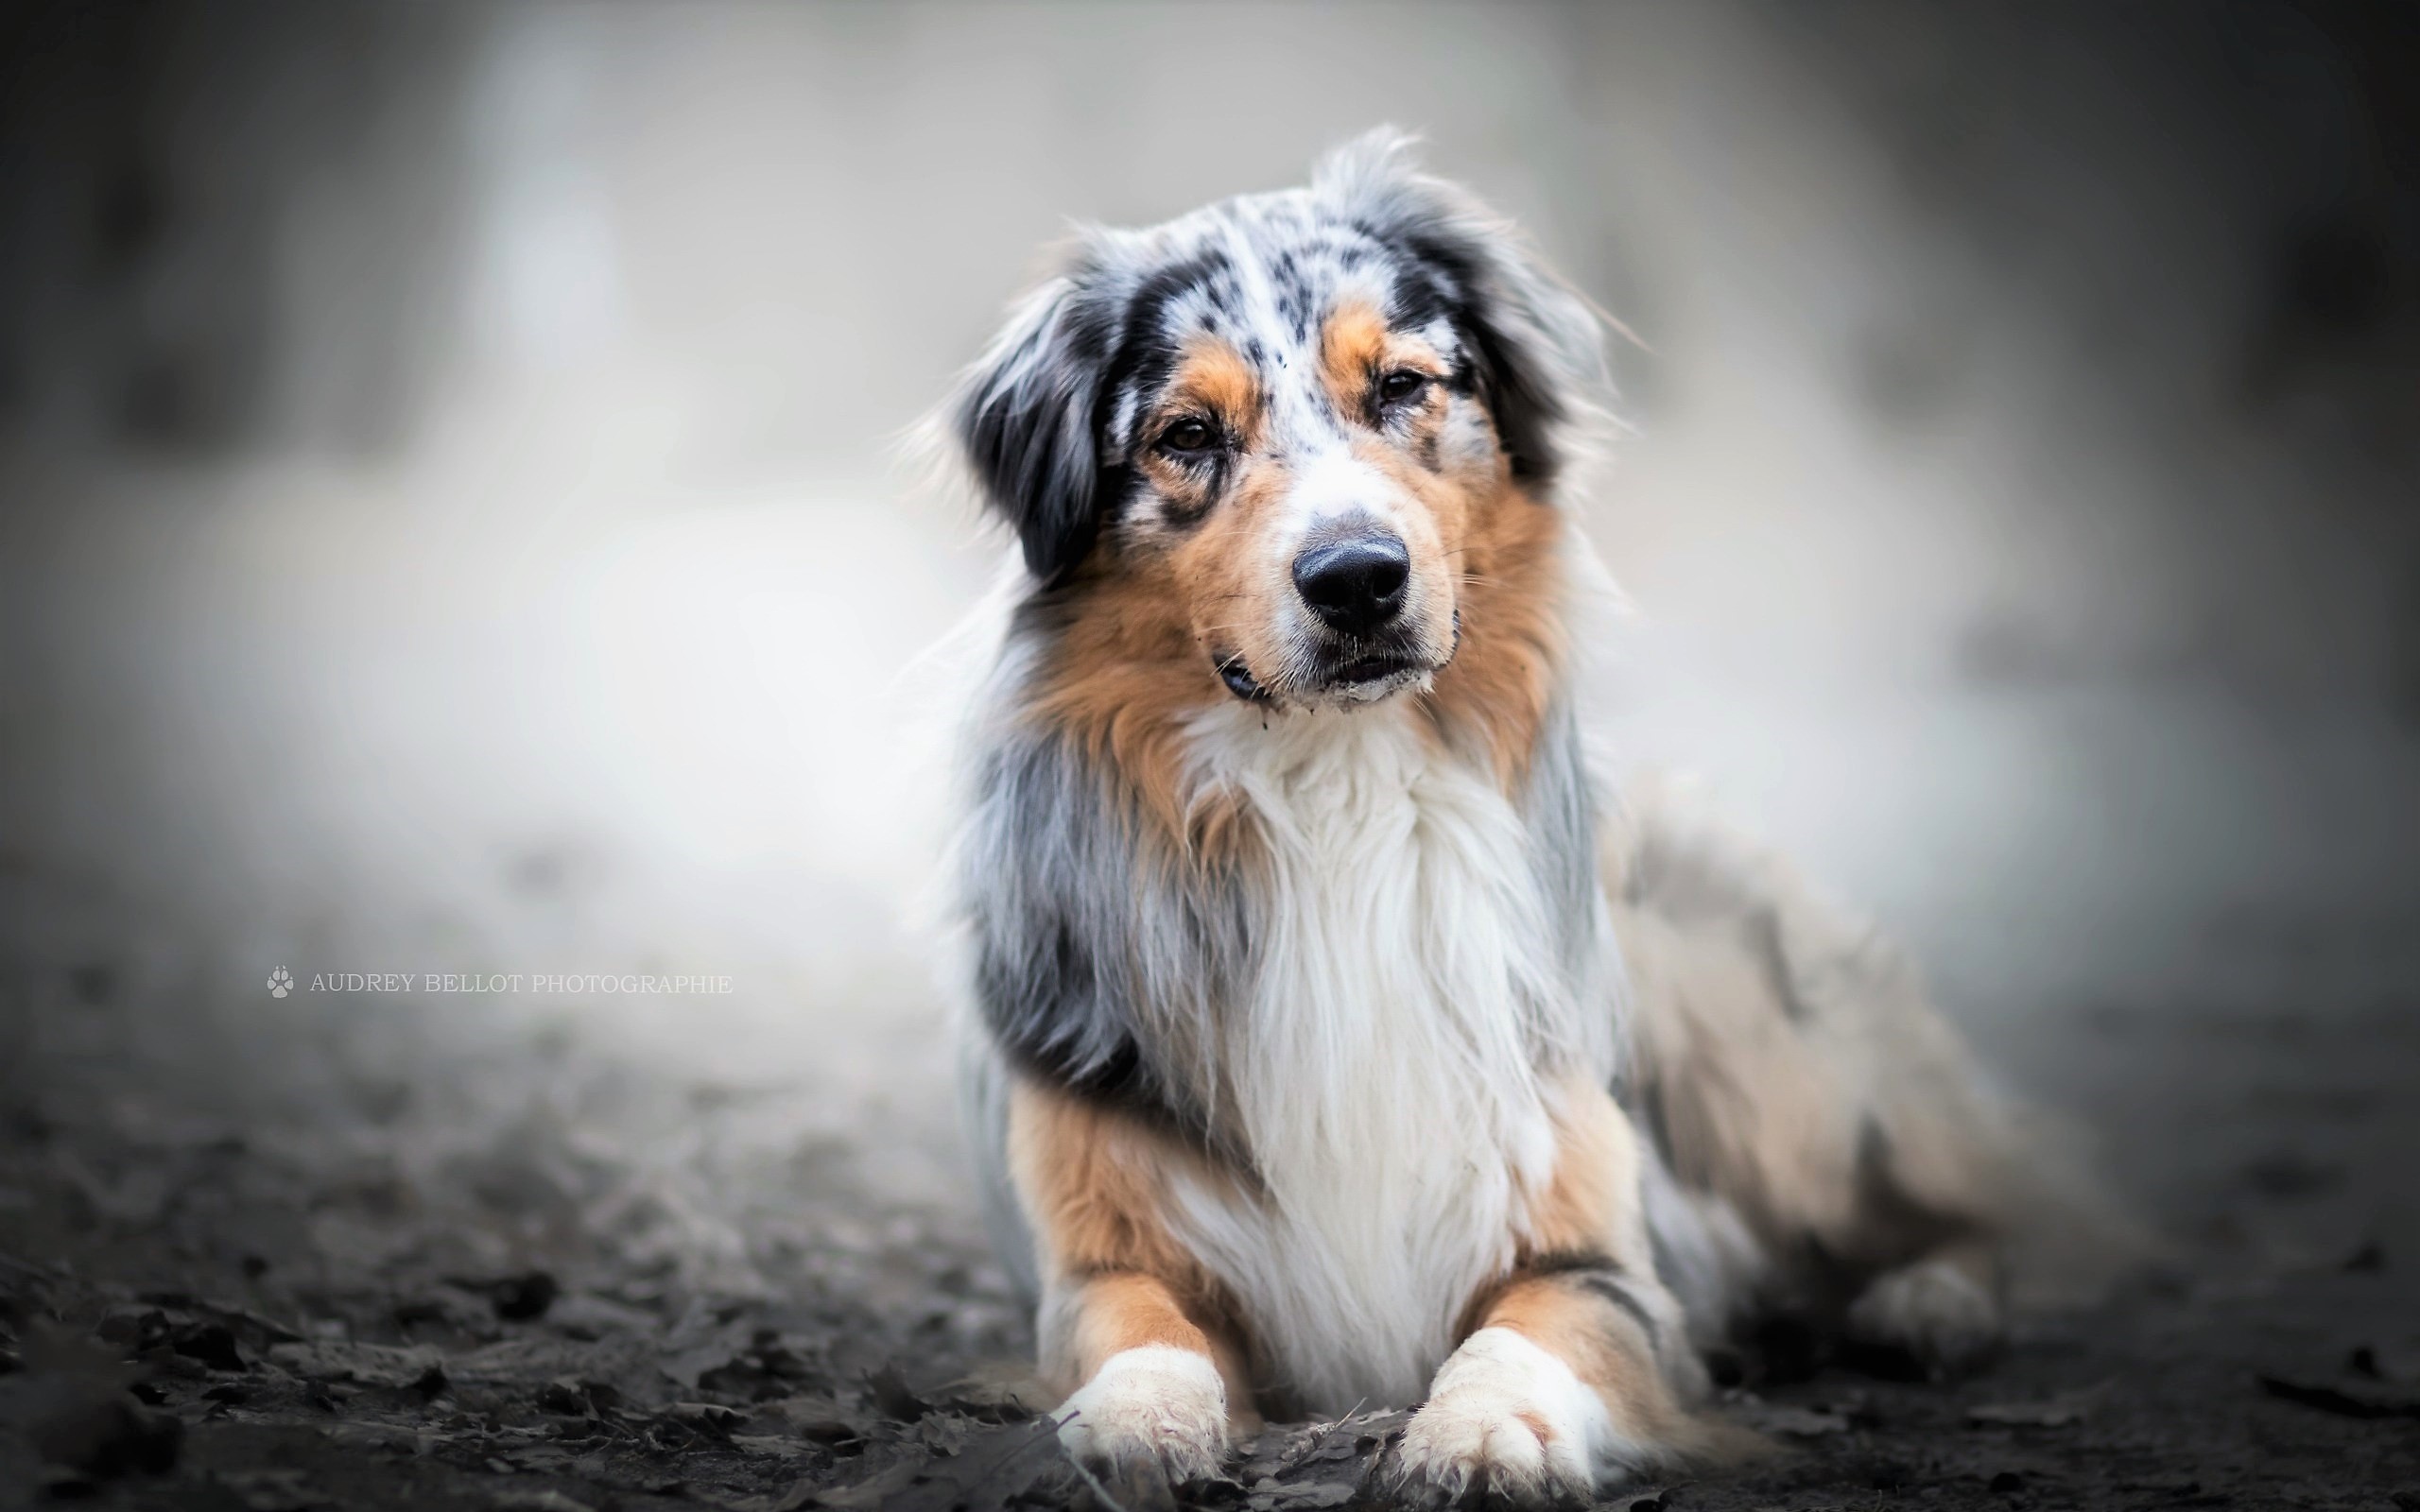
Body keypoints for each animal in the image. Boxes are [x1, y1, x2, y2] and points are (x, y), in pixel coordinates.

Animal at [934, 135, 2110, 1500]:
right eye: (1187, 434)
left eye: (1403, 385)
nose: (1357, 578)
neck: (1334, 788)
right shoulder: (1097, 1248)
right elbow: (1136, 1325)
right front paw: (1136, 1417)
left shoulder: (1599, 1254)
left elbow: (1526, 1331)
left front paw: (1489, 1431)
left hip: (1767, 1061)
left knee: (1981, 1195)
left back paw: (1932, 1301)